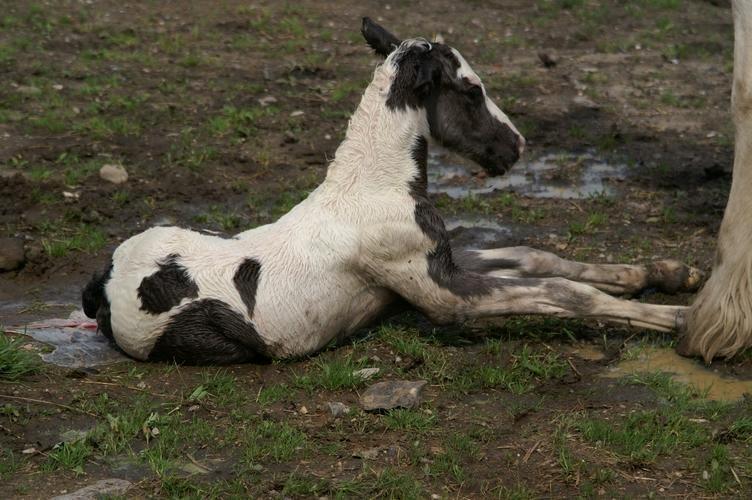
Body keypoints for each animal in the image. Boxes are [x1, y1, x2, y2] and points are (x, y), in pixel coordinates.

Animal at [83, 18, 704, 364]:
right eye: (471, 90)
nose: (517, 147)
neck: (371, 189)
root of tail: (105, 282)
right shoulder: (442, 294)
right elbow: (565, 292)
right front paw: (683, 319)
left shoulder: (440, 259)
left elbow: (537, 256)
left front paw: (669, 273)